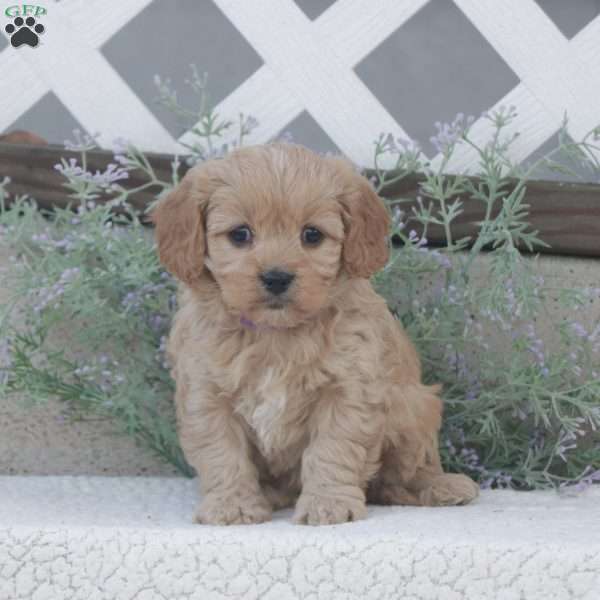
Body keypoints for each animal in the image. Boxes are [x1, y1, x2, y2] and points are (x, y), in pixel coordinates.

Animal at [152, 142, 480, 524]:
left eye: (312, 235)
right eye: (239, 234)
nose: (277, 277)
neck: (275, 334)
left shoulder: (348, 390)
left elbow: (332, 448)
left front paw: (329, 502)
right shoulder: (206, 394)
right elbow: (223, 453)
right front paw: (233, 504)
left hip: (413, 406)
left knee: (403, 474)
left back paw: (440, 485)